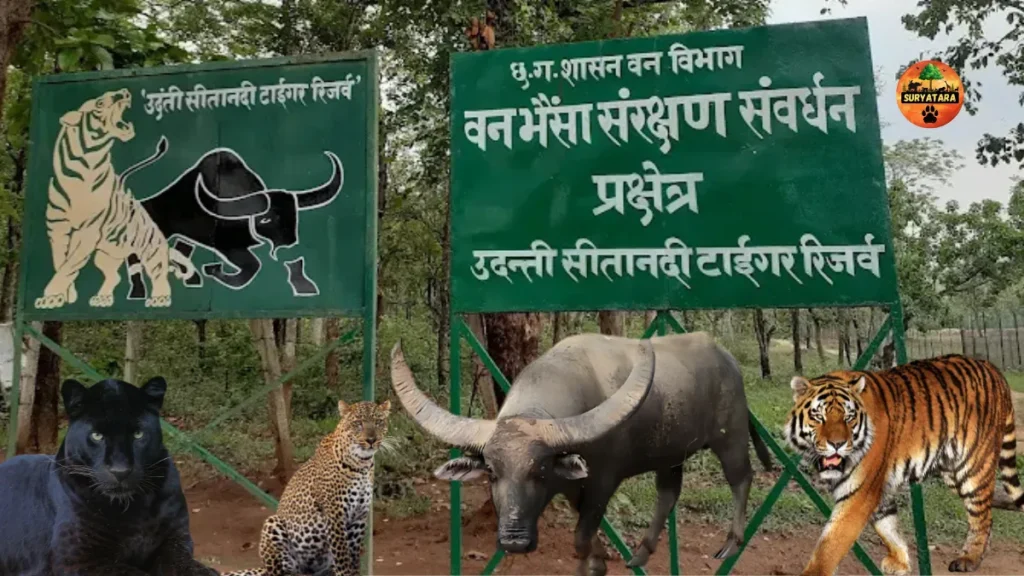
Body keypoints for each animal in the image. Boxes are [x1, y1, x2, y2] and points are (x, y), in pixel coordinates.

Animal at [35, 90, 193, 310]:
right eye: (100, 103)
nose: (124, 92)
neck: (82, 171)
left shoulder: (88, 231)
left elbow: (70, 264)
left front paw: (53, 295)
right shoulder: (57, 228)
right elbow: (62, 263)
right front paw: (62, 296)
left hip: (150, 249)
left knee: (159, 274)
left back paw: (160, 298)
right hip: (105, 255)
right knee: (114, 276)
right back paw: (103, 298)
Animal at [783, 354, 1024, 576]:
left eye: (849, 417)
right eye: (818, 416)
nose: (837, 444)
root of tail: (993, 369)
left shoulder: (860, 491)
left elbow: (831, 543)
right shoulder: (879, 488)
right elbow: (886, 526)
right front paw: (900, 561)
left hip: (973, 468)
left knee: (982, 516)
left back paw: (969, 559)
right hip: (952, 473)